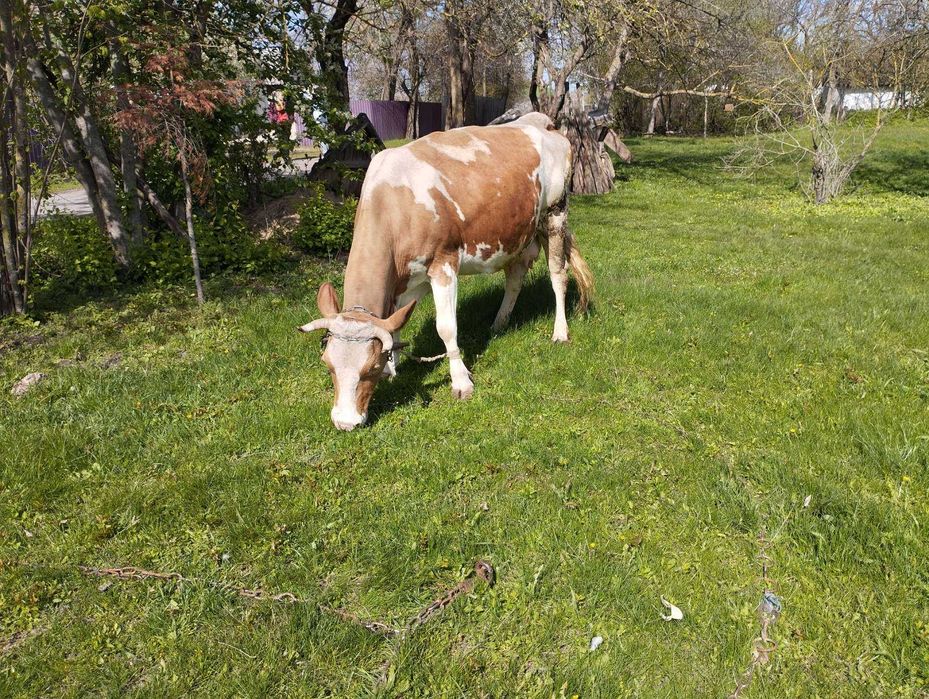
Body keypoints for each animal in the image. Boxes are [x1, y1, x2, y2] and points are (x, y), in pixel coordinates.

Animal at [300, 112, 593, 431]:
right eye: (328, 365)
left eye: (369, 368)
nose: (345, 422)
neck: (393, 201)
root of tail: (541, 121)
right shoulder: (404, 279)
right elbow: (396, 321)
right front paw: (394, 365)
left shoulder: (444, 263)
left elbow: (446, 327)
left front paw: (461, 381)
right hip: (517, 231)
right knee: (515, 277)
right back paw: (499, 322)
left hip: (555, 215)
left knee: (558, 276)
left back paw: (560, 331)